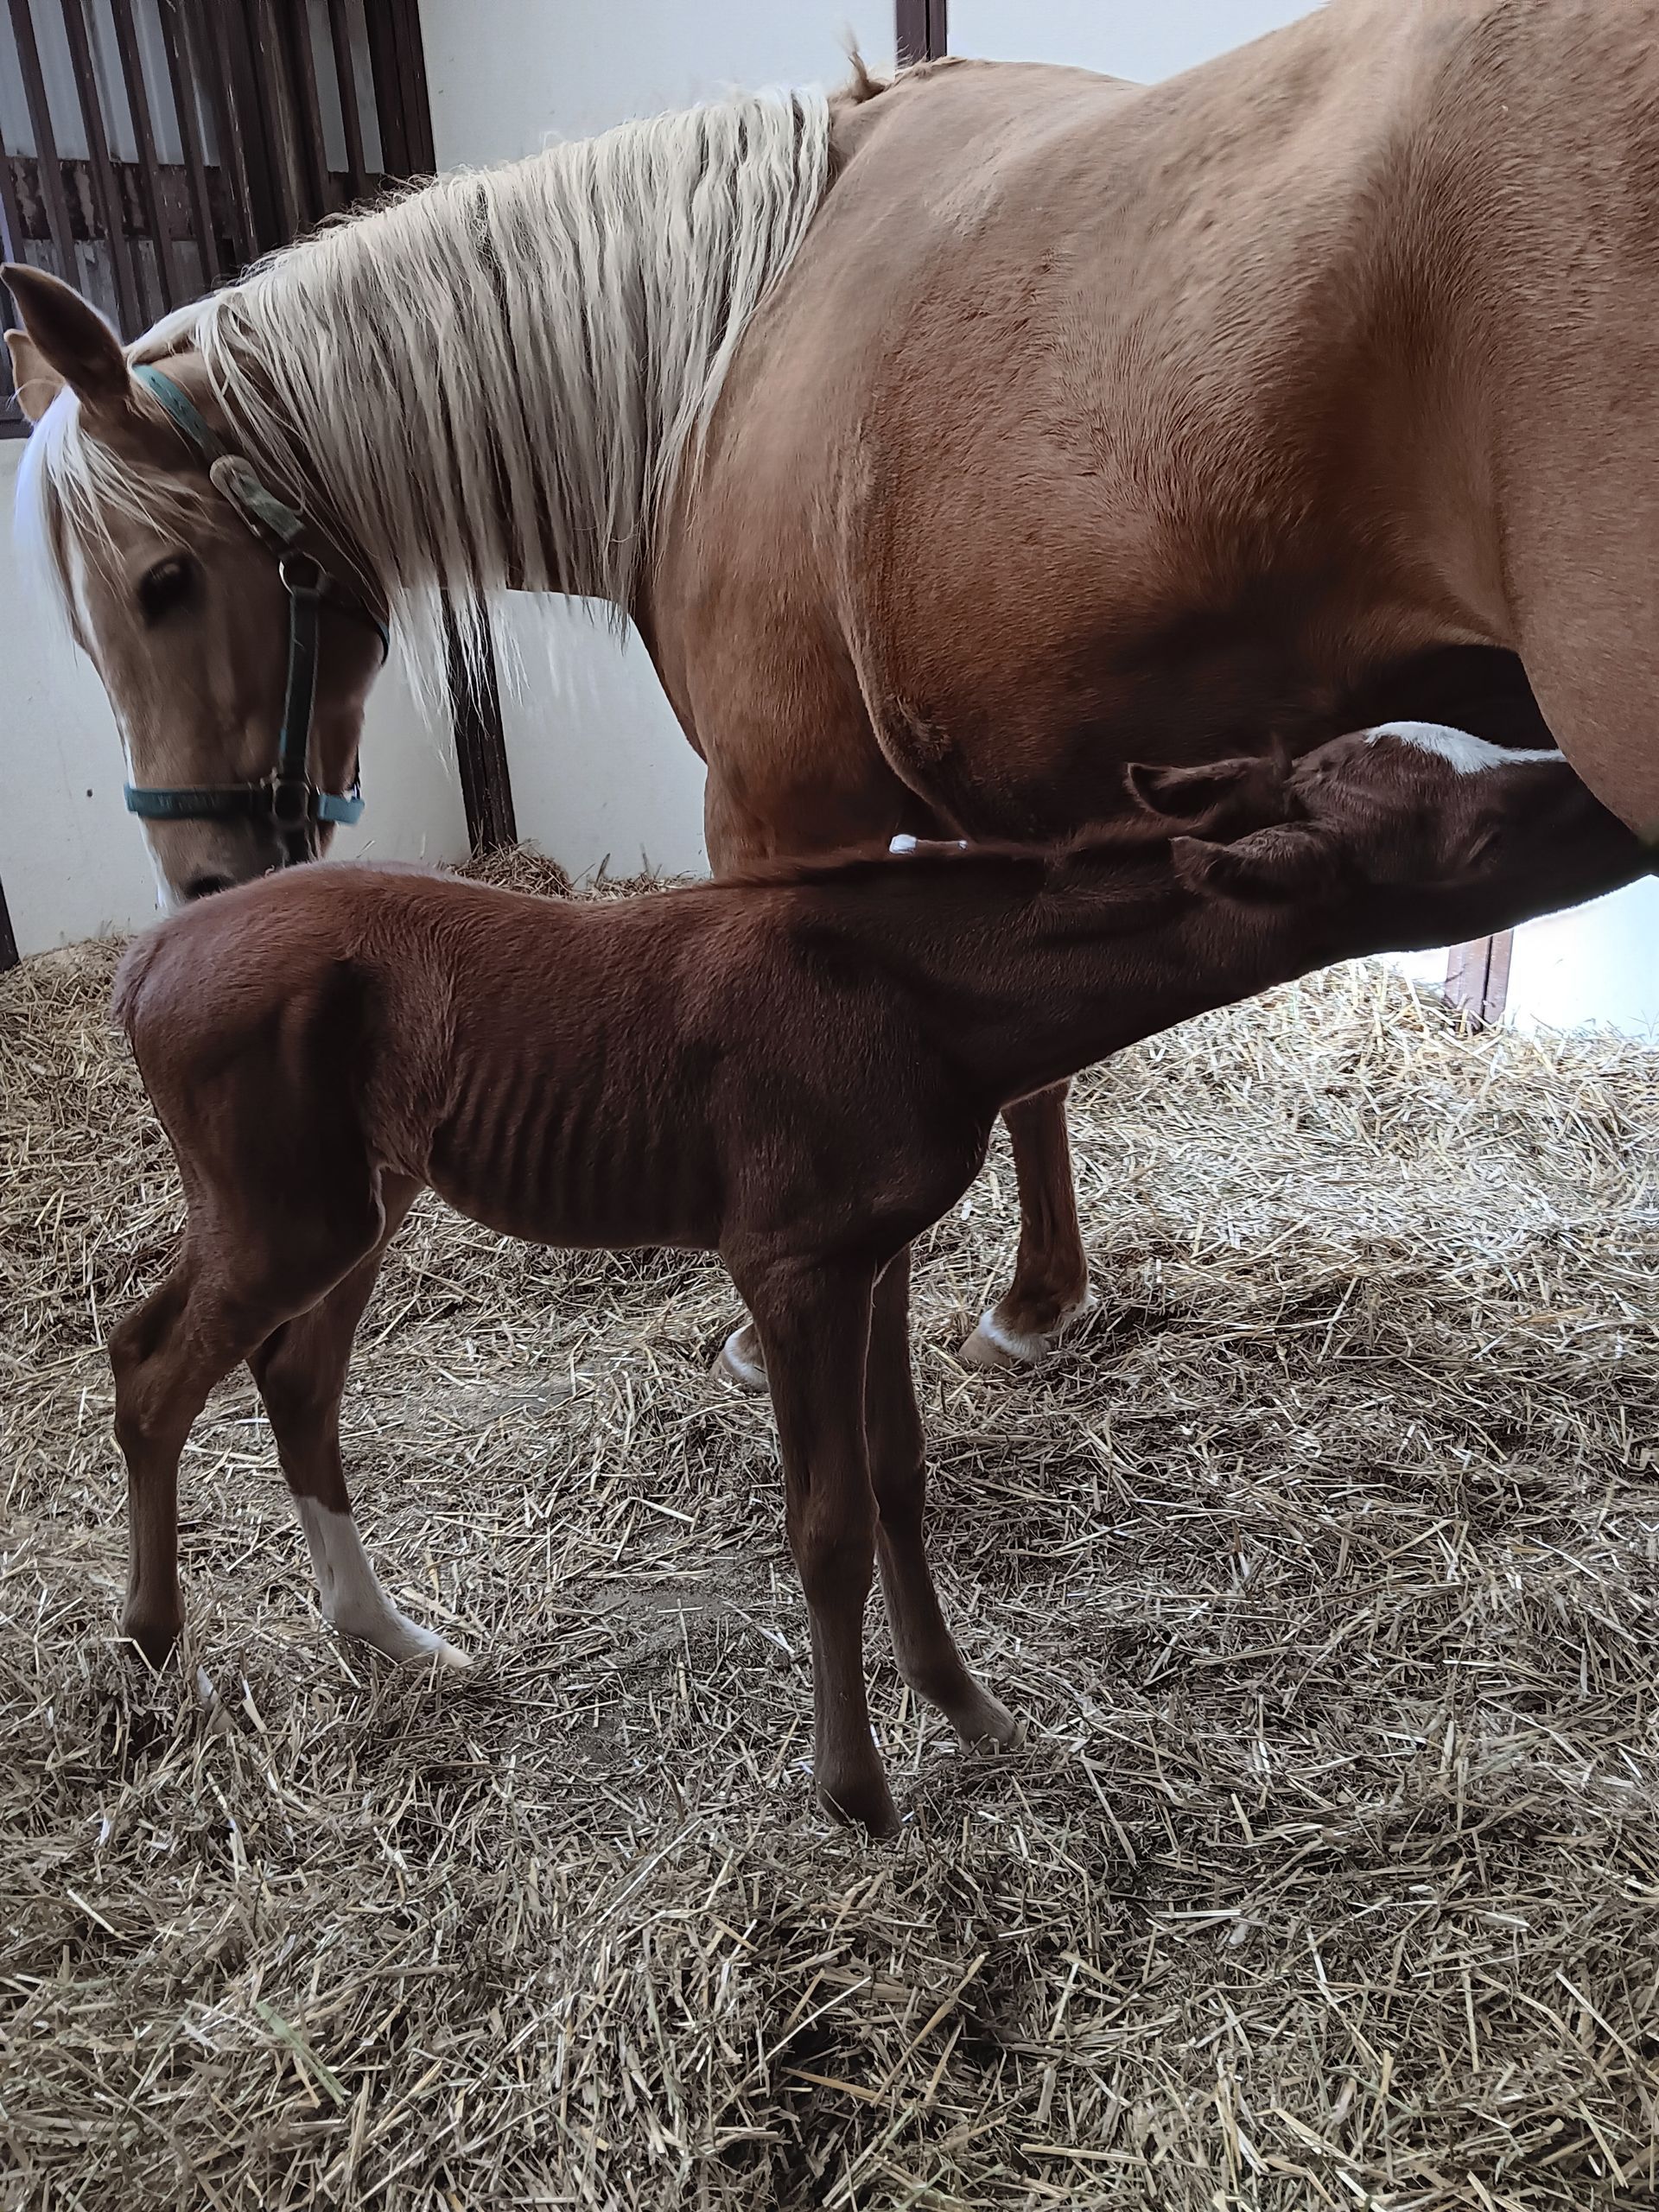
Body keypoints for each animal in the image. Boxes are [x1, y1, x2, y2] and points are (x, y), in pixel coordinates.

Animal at [9, 0, 1657, 1387]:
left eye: (163, 583)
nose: (203, 885)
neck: (724, 351)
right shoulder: (1008, 793)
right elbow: (1038, 1062)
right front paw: (1039, 1302)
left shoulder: (785, 815)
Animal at [107, 725, 1645, 1833]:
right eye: (1474, 830)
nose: (1608, 788)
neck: (921, 996)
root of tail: (148, 956)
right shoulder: (790, 1265)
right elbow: (829, 1524)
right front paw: (859, 1795)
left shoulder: (878, 1253)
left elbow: (904, 1475)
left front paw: (966, 1709)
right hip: (286, 1212)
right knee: (150, 1366)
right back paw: (151, 1653)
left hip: (365, 1203)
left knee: (295, 1377)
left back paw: (394, 1638)